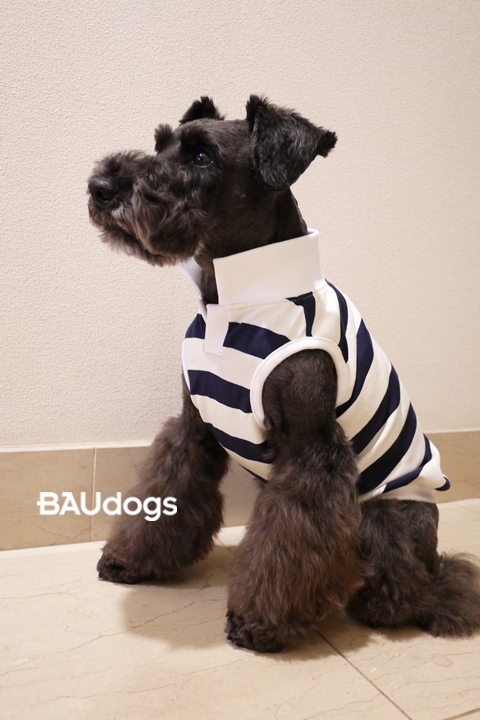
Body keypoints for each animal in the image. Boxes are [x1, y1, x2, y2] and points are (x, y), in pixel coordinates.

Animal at [88, 96, 480, 653]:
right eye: (160, 143)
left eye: (202, 156)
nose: (101, 186)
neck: (232, 299)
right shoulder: (192, 429)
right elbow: (168, 488)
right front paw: (130, 558)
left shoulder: (310, 451)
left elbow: (291, 538)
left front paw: (260, 622)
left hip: (384, 516)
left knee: (411, 583)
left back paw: (385, 602)